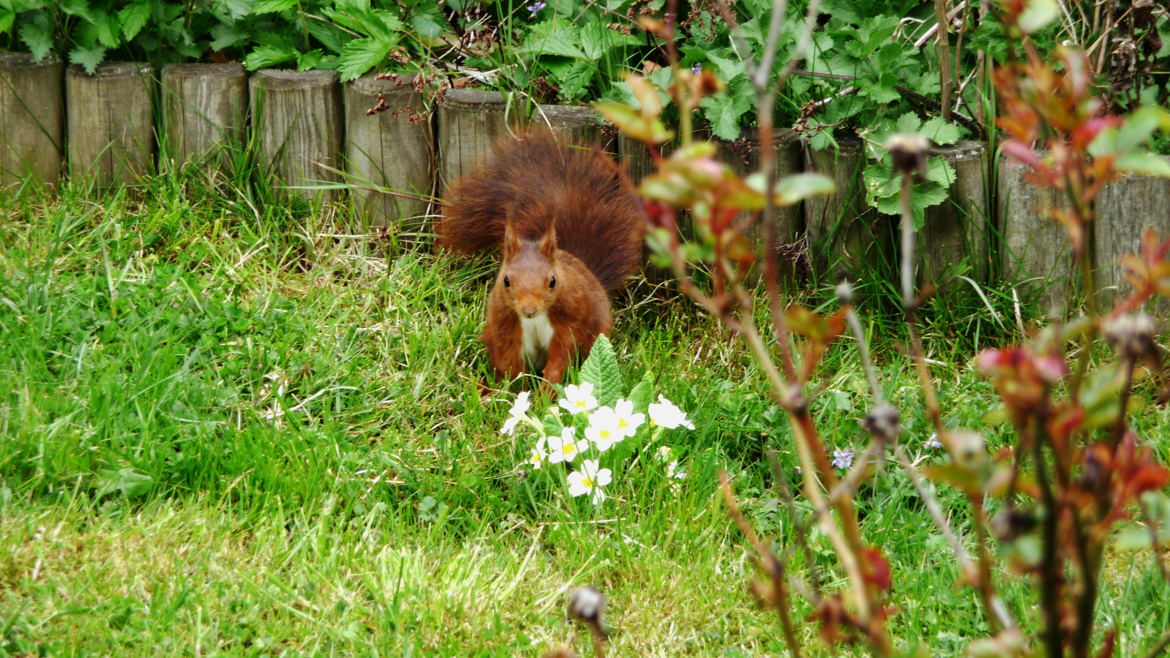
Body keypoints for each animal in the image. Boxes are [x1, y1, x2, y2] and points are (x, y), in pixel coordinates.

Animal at [439, 129, 645, 384]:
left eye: (553, 281)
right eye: (506, 280)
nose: (529, 309)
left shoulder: (571, 321)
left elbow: (562, 356)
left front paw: (547, 389)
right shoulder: (505, 325)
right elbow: (510, 365)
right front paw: (514, 391)